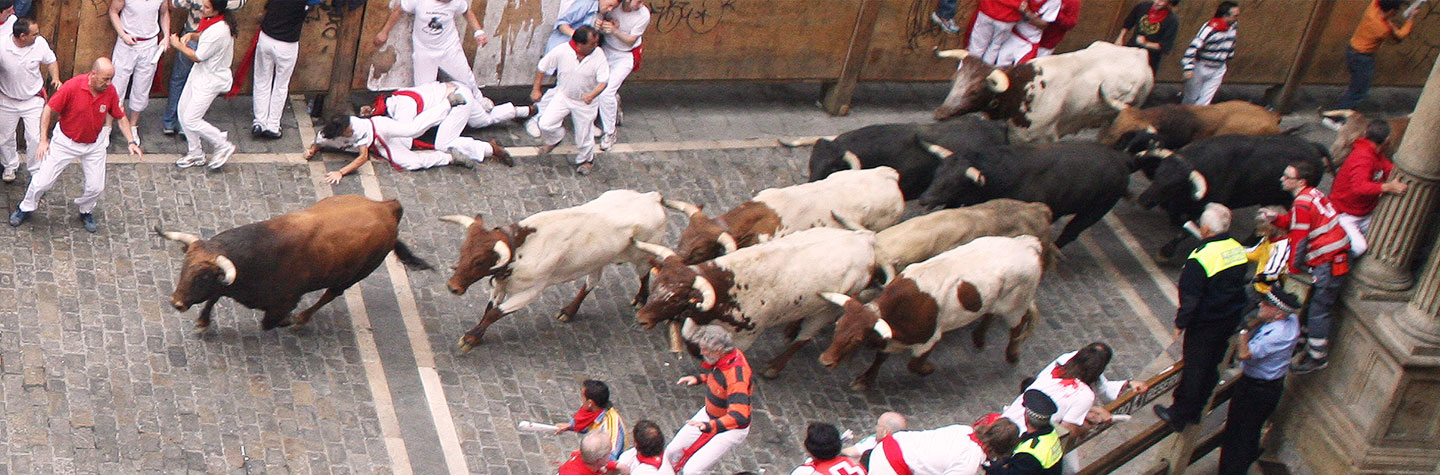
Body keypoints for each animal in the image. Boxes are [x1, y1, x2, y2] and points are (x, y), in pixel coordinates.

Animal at [157, 194, 429, 332]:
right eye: (184, 267)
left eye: (202, 277)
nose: (176, 302)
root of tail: (388, 207)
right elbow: (214, 296)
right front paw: (203, 321)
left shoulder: (284, 300)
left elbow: (268, 322)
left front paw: (287, 320)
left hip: (354, 275)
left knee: (330, 294)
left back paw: (301, 319)